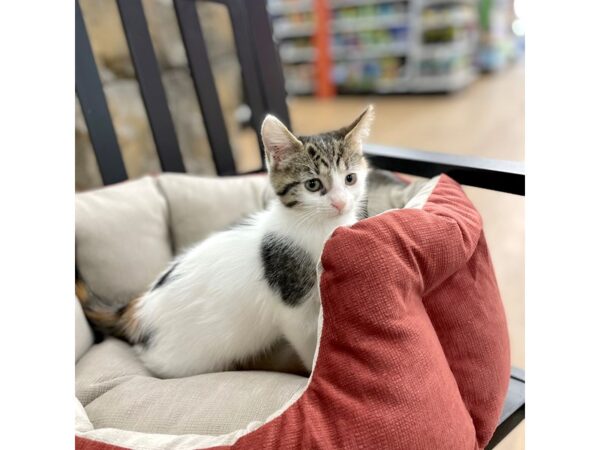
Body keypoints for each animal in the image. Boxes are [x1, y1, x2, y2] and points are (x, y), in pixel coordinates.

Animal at [78, 107, 372, 378]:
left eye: (350, 179)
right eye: (313, 185)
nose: (341, 203)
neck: (317, 226)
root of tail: (135, 310)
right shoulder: (294, 307)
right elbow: (310, 343)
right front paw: (313, 374)